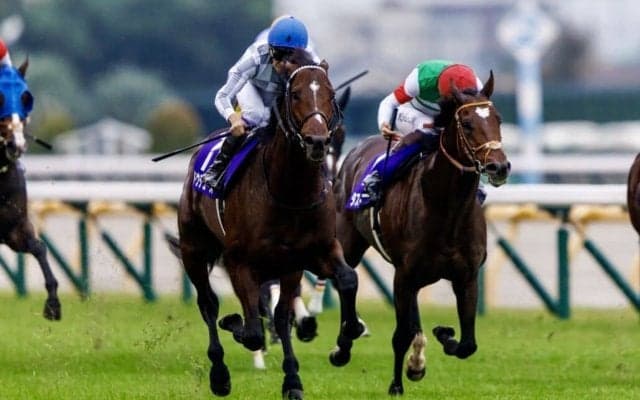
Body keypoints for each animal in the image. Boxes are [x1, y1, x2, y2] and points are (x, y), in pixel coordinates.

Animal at [176, 49, 363, 398]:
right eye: (296, 93)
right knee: (209, 304)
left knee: (277, 315)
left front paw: (342, 343)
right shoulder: (240, 261)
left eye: (329, 93)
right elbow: (251, 330)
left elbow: (346, 280)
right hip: (194, 249)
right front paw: (235, 327)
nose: (317, 141)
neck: (290, 189)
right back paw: (219, 373)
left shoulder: (309, 254)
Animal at [333, 71, 510, 395]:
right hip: (350, 243)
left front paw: (443, 335)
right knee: (344, 280)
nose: (499, 166)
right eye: (467, 124)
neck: (447, 209)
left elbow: (467, 344)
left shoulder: (466, 276)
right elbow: (400, 334)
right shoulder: (403, 275)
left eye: (498, 119)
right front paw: (396, 385)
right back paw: (344, 344)